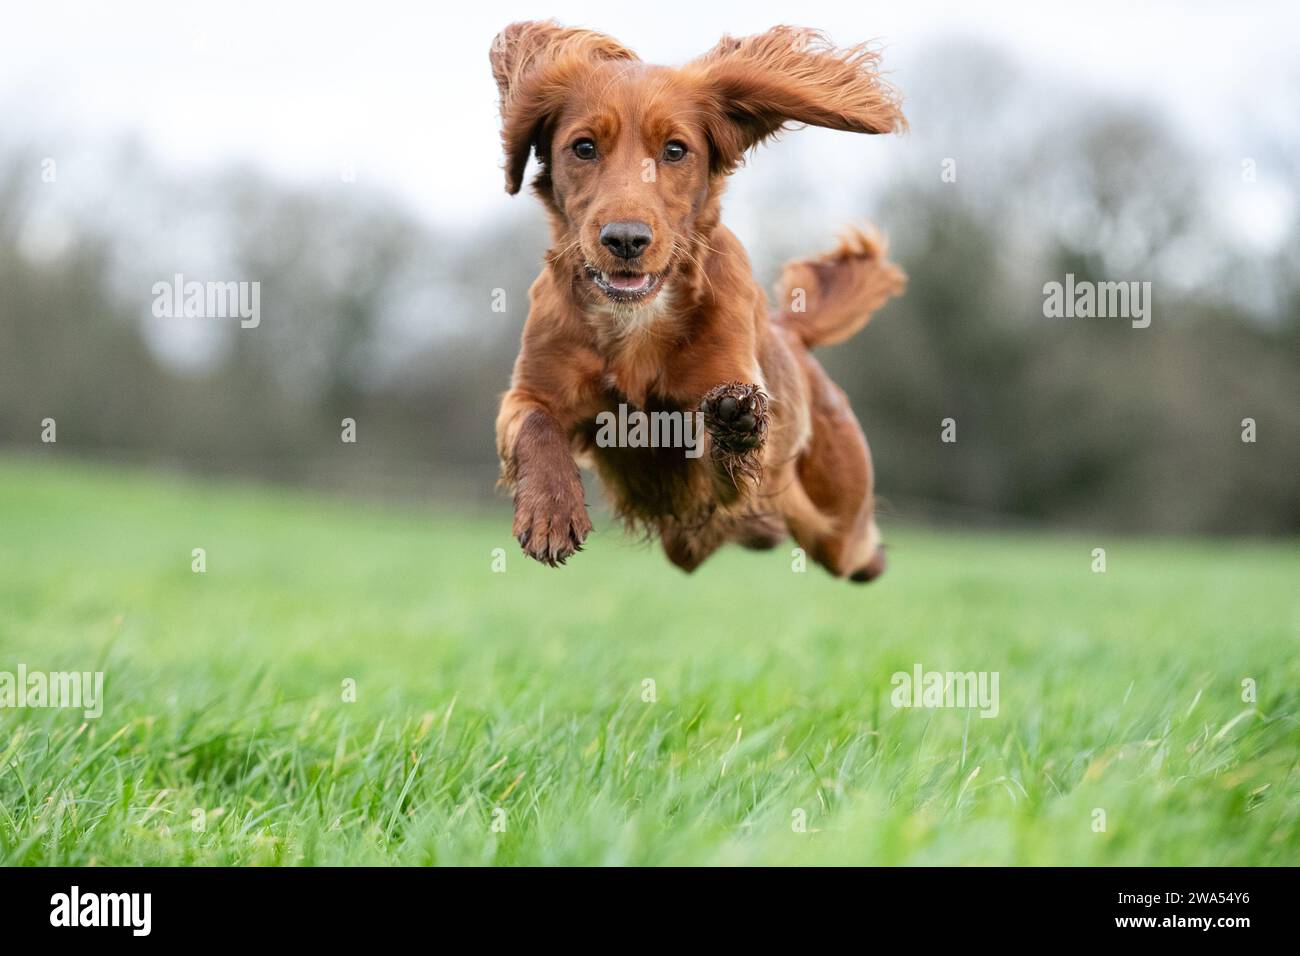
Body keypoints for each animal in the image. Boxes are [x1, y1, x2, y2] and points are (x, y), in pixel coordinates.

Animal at [488, 18, 904, 580]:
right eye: (584, 147)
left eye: (675, 150)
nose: (626, 239)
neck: (637, 318)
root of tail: (793, 333)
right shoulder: (530, 390)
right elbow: (533, 423)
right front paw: (549, 512)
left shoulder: (716, 418)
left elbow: (720, 454)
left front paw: (734, 426)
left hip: (839, 522)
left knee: (855, 548)